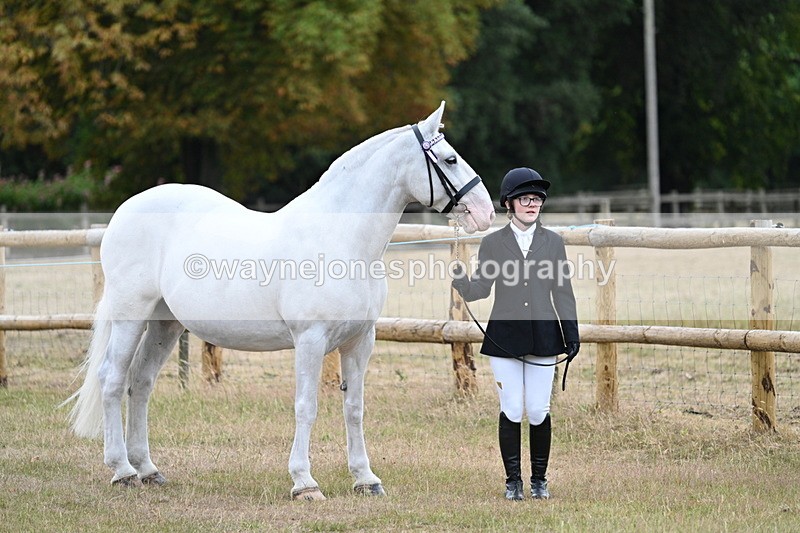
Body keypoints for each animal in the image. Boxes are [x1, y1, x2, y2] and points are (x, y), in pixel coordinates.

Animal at [65, 101, 495, 500]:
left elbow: (354, 408)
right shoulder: (310, 340)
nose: (486, 212)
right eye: (450, 159)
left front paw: (365, 479)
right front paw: (304, 483)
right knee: (112, 379)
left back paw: (148, 469)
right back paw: (123, 471)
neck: (341, 239)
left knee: (141, 383)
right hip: (131, 313)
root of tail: (124, 211)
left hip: (164, 323)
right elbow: (306, 406)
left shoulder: (360, 341)